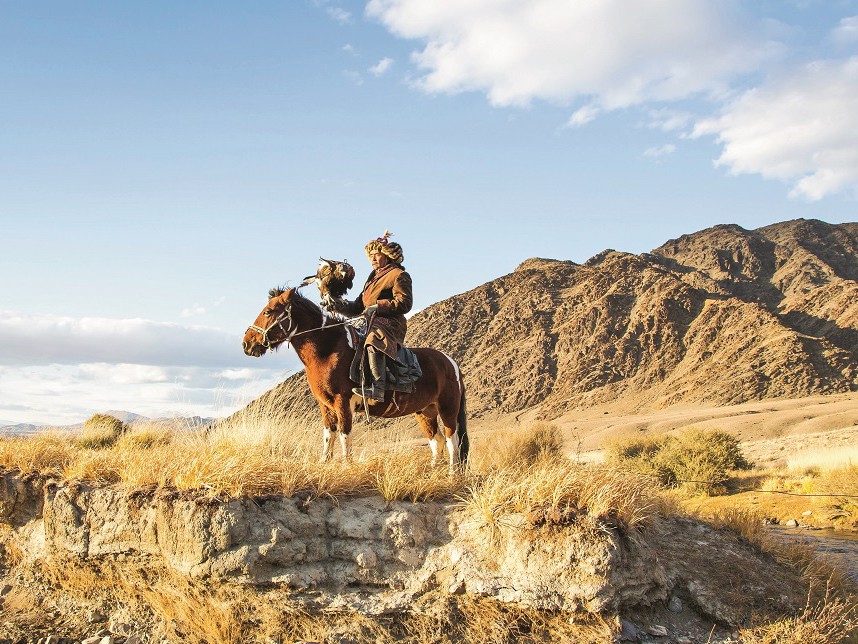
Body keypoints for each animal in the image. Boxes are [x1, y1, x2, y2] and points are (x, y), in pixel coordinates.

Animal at [241, 290, 468, 470]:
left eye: (268, 311)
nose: (247, 343)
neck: (328, 351)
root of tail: (452, 364)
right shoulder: (325, 405)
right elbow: (328, 435)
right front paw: (324, 463)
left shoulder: (343, 401)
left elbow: (344, 435)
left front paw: (346, 466)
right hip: (425, 411)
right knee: (436, 441)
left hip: (447, 408)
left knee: (452, 440)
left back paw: (451, 474)